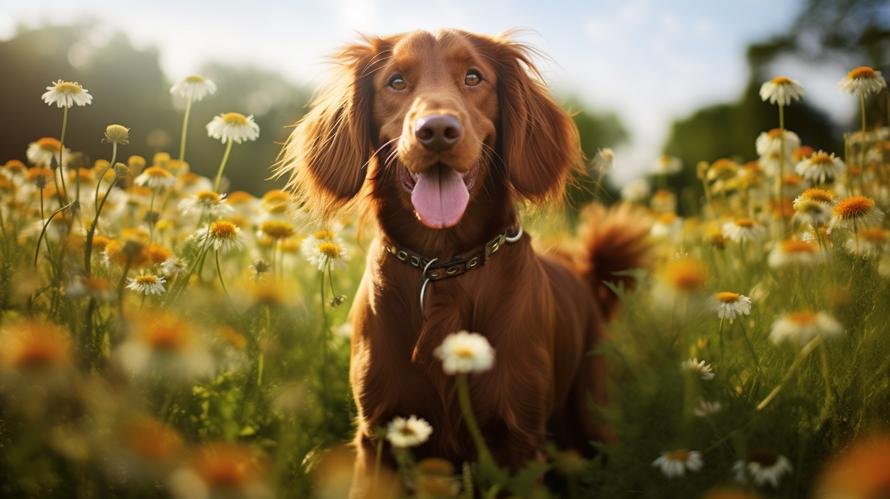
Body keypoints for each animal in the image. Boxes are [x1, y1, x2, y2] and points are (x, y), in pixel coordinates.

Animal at [280, 29, 648, 498]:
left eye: (474, 77)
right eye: (396, 81)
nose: (437, 130)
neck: (442, 267)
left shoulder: (519, 442)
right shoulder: (378, 436)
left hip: (591, 417)